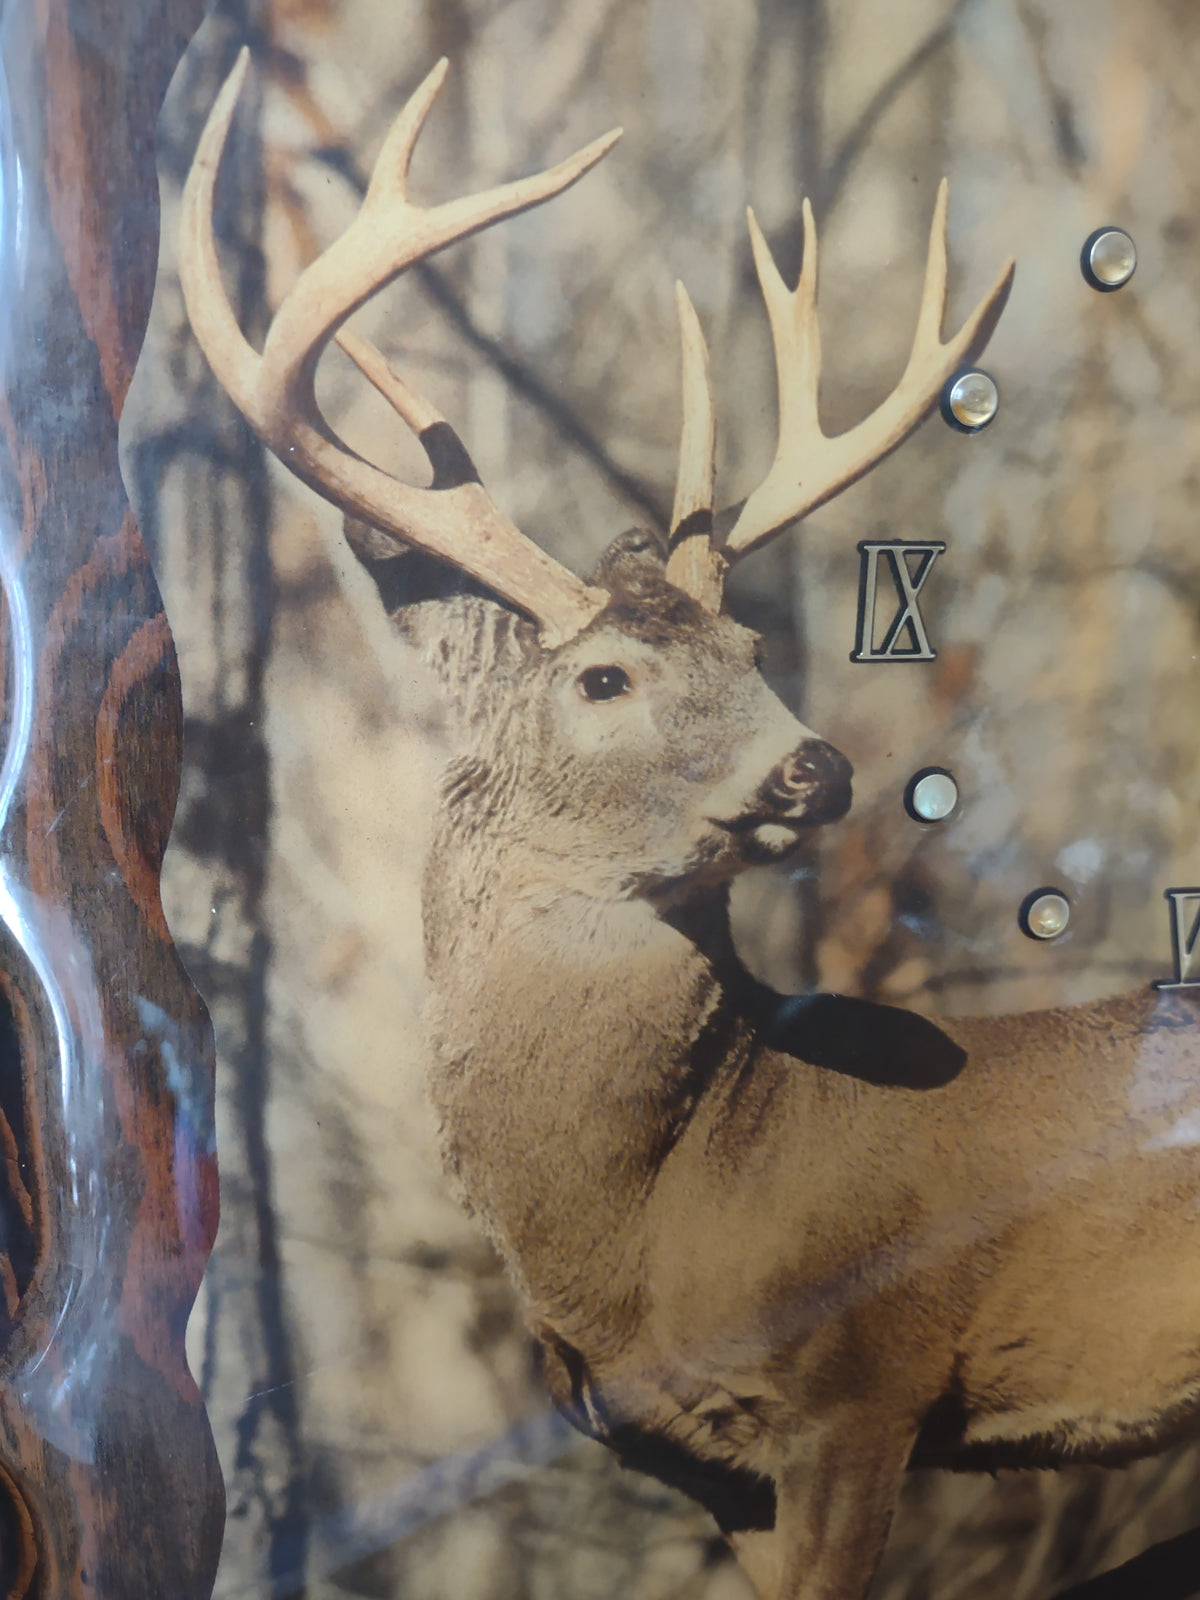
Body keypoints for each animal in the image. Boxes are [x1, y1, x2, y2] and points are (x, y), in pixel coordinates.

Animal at [179, 47, 1200, 1600]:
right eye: (605, 677)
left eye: (756, 650)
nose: (816, 769)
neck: (669, 1211)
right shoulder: (716, 1469)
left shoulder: (863, 1391)